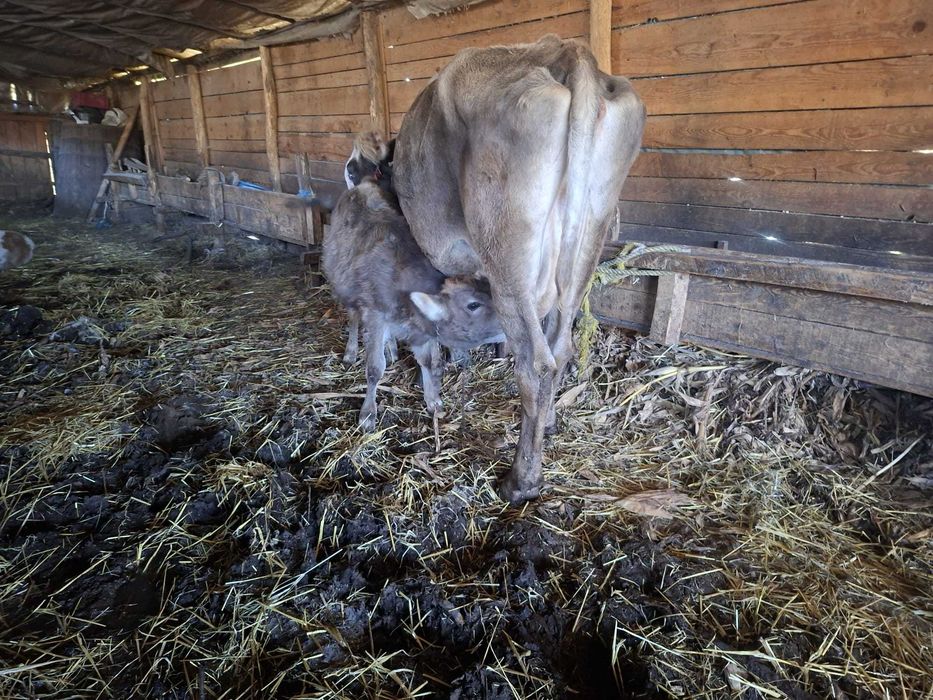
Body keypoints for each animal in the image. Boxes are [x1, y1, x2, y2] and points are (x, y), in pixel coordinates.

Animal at [321, 179, 504, 431]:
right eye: (473, 305)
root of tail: (362, 186)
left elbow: (428, 361)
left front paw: (433, 400)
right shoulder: (376, 315)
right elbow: (375, 368)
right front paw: (368, 413)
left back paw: (391, 348)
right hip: (345, 287)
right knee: (353, 317)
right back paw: (351, 352)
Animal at [393, 35, 645, 503]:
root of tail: (568, 54)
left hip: (506, 244)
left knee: (536, 363)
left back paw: (522, 480)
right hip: (591, 231)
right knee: (559, 346)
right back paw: (548, 422)